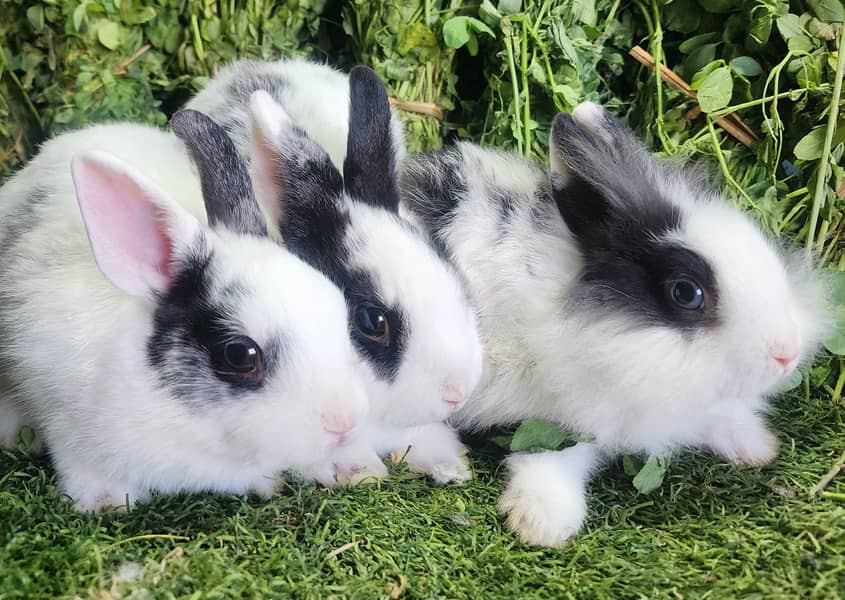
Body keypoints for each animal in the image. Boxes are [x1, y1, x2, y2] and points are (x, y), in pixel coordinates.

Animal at [0, 109, 370, 511]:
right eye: (240, 354)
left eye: (337, 309)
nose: (345, 422)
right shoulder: (63, 411)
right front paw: (104, 499)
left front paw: (353, 467)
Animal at [398, 101, 829, 546]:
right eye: (686, 293)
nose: (786, 354)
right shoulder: (565, 412)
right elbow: (554, 457)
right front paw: (542, 522)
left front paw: (757, 447)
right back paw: (446, 462)